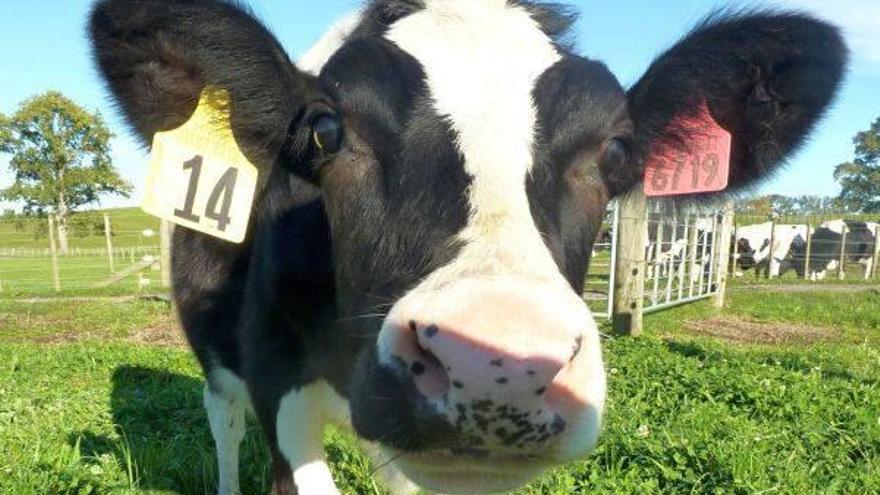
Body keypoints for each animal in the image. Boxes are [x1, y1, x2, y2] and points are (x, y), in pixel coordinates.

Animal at [88, 1, 847, 493]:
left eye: (618, 152)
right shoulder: (279, 390)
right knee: (222, 423)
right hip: (216, 352)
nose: (494, 365)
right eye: (327, 132)